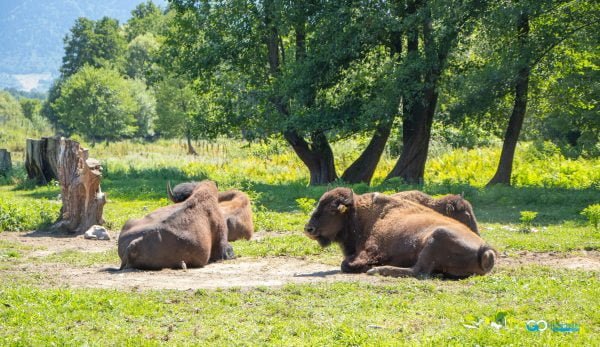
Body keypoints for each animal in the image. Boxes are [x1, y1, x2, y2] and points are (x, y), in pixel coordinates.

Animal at [304, 188, 496, 280]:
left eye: (332, 209)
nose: (309, 229)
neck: (360, 214)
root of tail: (486, 250)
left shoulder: (371, 251)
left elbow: (346, 264)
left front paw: (368, 267)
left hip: (437, 237)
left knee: (418, 271)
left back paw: (376, 270)